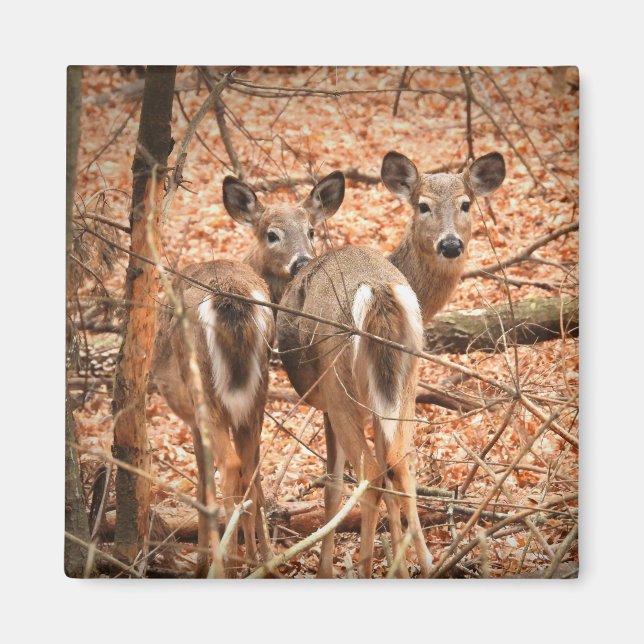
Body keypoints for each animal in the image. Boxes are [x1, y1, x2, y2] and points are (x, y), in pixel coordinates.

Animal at [151, 170, 346, 577]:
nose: (302, 262)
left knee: (230, 466)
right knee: (252, 466)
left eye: (310, 230)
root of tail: (231, 298)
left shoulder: (191, 415)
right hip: (257, 391)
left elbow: (203, 479)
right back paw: (264, 559)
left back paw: (223, 563)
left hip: (205, 390)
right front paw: (257, 553)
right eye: (272, 233)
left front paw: (205, 559)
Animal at [277, 246, 432, 578]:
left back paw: (364, 569)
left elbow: (332, 486)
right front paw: (398, 564)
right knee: (399, 463)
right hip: (406, 381)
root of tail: (375, 289)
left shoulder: (327, 404)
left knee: (370, 475)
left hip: (339, 385)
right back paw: (426, 565)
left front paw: (324, 569)